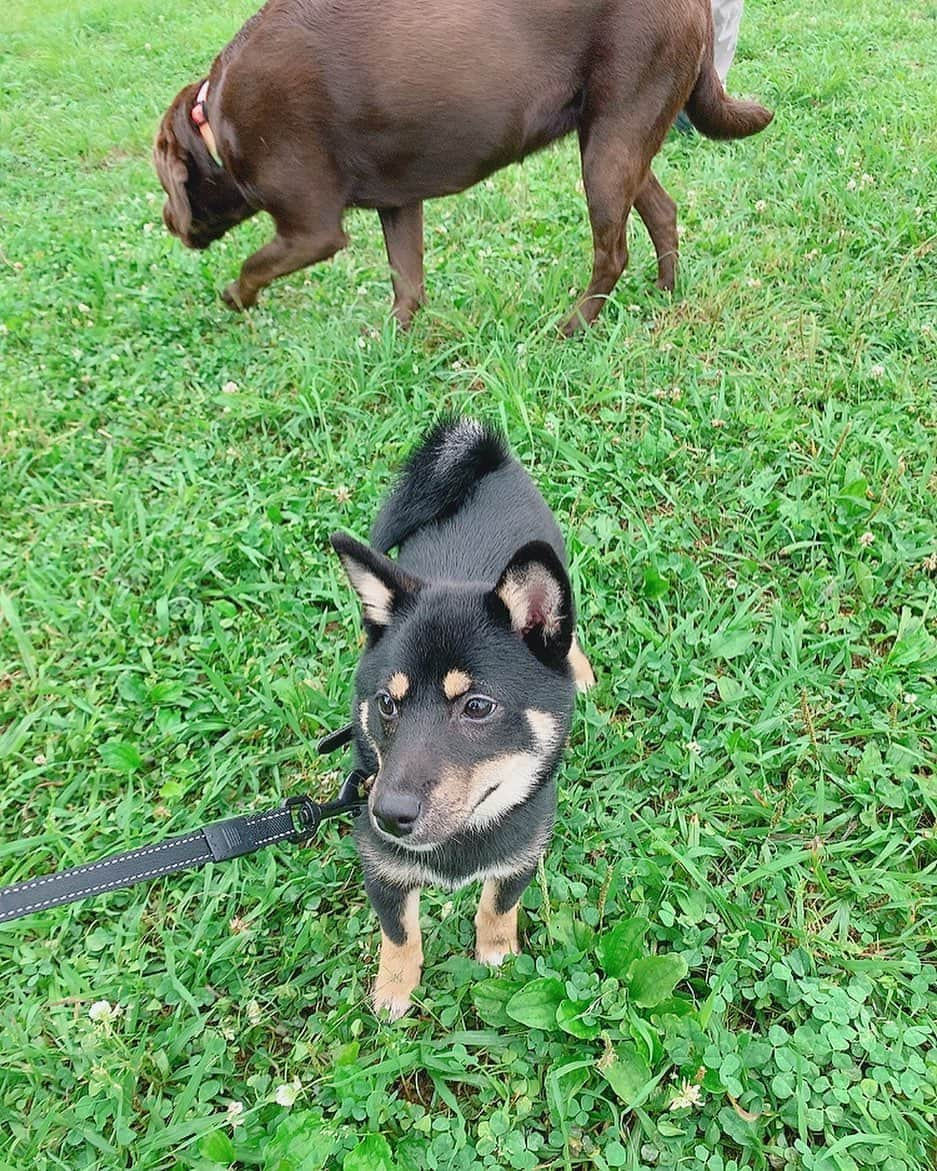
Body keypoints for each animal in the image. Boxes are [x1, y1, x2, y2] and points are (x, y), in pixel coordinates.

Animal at [153, 0, 773, 334]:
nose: (166, 218)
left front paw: (235, 297)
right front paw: (393, 340)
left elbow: (254, 262)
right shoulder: (398, 203)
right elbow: (407, 281)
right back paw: (666, 292)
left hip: (610, 141)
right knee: (662, 212)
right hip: (615, 133)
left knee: (612, 251)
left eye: (166, 183)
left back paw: (573, 326)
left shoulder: (311, 230)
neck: (213, 121)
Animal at [330, 421, 592, 1016]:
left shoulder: (521, 855)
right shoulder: (383, 868)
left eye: (477, 706)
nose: (389, 815)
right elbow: (400, 934)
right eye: (386, 704)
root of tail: (487, 460)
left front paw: (496, 955)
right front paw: (394, 989)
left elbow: (497, 908)